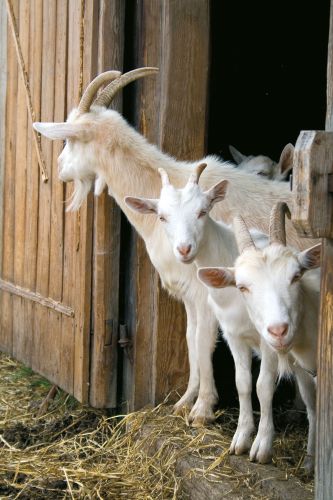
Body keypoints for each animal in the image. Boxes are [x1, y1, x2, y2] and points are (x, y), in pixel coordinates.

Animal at [33, 66, 316, 426]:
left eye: (69, 138)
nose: (59, 168)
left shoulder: (207, 293)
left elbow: (204, 343)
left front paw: (202, 409)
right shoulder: (189, 296)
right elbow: (191, 341)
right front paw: (184, 401)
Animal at [197, 202, 320, 468]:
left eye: (296, 276)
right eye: (242, 286)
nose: (279, 329)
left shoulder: (268, 344)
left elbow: (264, 385)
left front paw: (262, 446)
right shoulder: (235, 338)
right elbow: (242, 382)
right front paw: (241, 438)